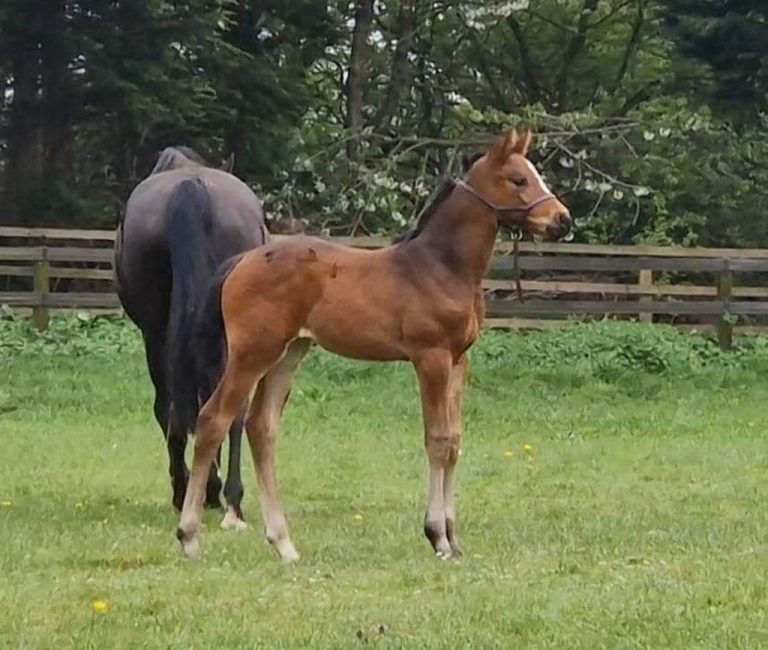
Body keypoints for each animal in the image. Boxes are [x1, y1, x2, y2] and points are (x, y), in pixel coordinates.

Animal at [114, 145, 267, 530]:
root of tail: (191, 186)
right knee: (226, 406)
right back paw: (230, 498)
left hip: (158, 337)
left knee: (174, 407)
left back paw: (192, 492)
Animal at [175, 129, 572, 560]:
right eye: (518, 179)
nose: (562, 220)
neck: (442, 266)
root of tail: (242, 261)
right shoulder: (430, 357)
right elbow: (437, 441)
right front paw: (437, 536)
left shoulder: (458, 360)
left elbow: (454, 441)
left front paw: (453, 538)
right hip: (252, 354)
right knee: (213, 420)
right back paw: (190, 536)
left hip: (288, 353)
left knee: (260, 427)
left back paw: (284, 544)